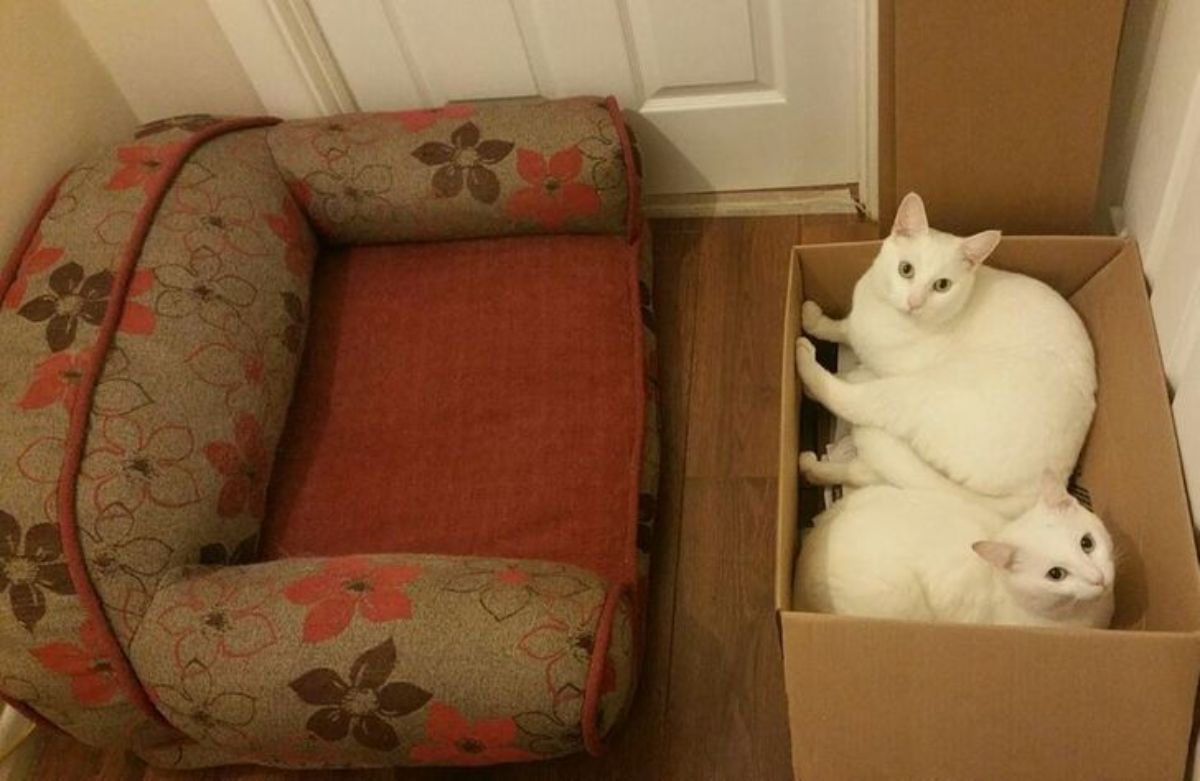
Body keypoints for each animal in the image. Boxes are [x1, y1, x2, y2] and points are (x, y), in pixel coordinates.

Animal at [796, 191, 1099, 515]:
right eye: (906, 269)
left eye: (942, 286)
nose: (914, 302)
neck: (886, 318)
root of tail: (1047, 482)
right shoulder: (859, 328)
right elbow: (842, 328)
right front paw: (814, 318)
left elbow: (853, 369)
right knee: (869, 470)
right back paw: (815, 468)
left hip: (917, 392)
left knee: (851, 402)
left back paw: (807, 368)